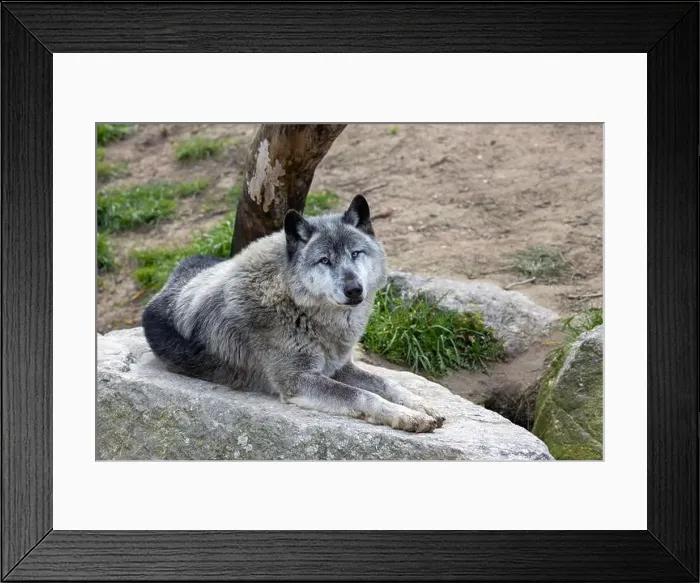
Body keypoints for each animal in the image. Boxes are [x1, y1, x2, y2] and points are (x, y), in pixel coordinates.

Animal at [142, 195, 444, 433]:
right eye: (324, 261)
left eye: (356, 253)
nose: (354, 289)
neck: (297, 307)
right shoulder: (297, 380)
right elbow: (363, 396)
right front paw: (408, 417)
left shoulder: (339, 367)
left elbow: (387, 383)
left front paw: (422, 405)